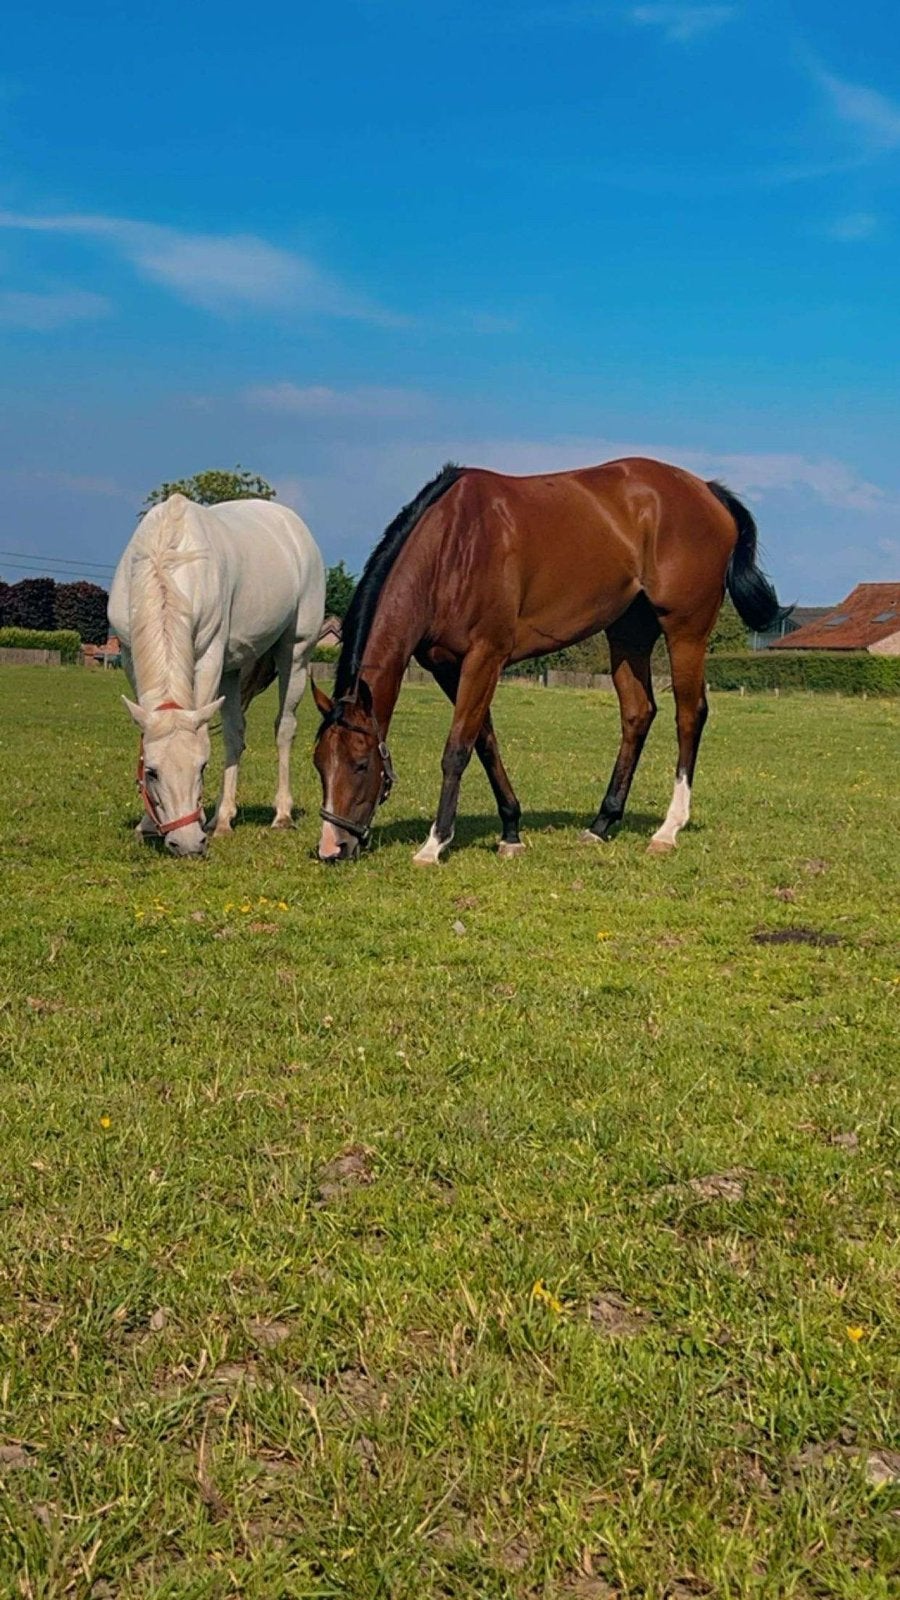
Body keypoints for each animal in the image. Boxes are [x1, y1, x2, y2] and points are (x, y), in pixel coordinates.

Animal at [109, 492, 325, 856]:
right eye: (151, 772)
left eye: (202, 767)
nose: (187, 843)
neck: (167, 561)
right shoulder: (129, 655)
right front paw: (147, 824)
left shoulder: (208, 655)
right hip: (232, 668)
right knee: (235, 734)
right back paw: (222, 818)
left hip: (295, 654)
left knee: (284, 728)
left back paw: (281, 814)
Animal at [311, 456, 783, 864]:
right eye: (318, 763)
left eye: (361, 763)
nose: (332, 848)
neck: (453, 545)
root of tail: (707, 490)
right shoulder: (447, 666)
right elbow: (484, 742)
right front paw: (511, 832)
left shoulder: (485, 656)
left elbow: (457, 748)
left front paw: (435, 844)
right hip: (628, 632)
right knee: (638, 713)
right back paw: (602, 823)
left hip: (685, 629)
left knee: (689, 715)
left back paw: (668, 829)